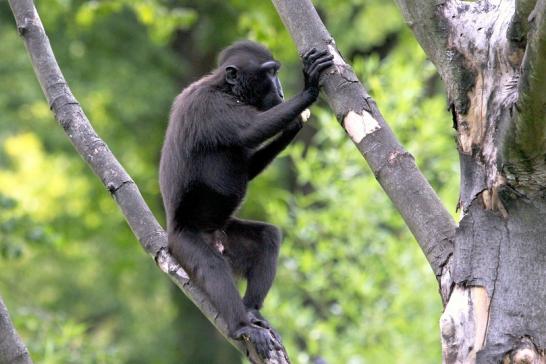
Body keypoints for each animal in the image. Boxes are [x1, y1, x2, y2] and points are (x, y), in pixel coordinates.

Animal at [158, 40, 332, 358]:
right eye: (270, 73)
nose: (281, 91)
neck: (226, 90)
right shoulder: (211, 108)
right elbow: (251, 130)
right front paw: (309, 88)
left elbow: (248, 165)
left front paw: (294, 123)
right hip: (186, 242)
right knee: (213, 268)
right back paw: (241, 326)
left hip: (229, 236)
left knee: (268, 238)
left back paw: (252, 311)